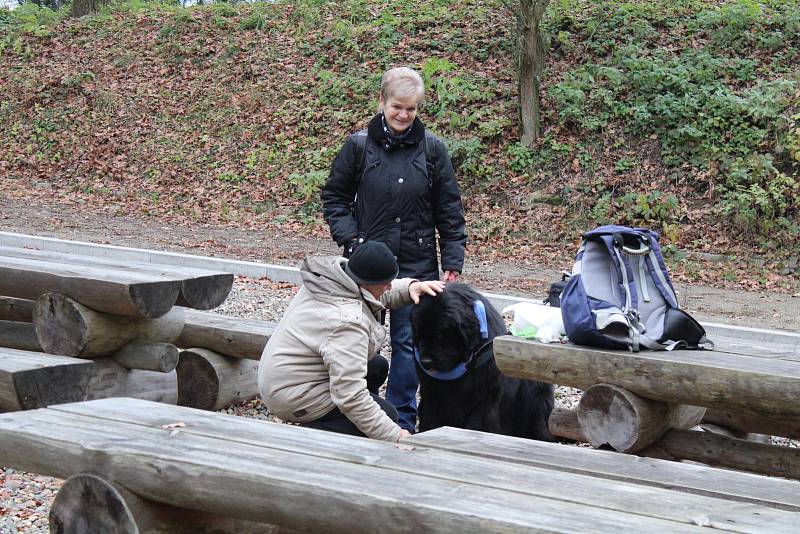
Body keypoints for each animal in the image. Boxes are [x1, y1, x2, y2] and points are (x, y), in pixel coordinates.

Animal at [410, 282, 552, 442]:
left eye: (441, 334)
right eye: (418, 334)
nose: (425, 361)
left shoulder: (485, 397)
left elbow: (477, 423)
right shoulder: (431, 392)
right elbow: (431, 418)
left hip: (536, 400)